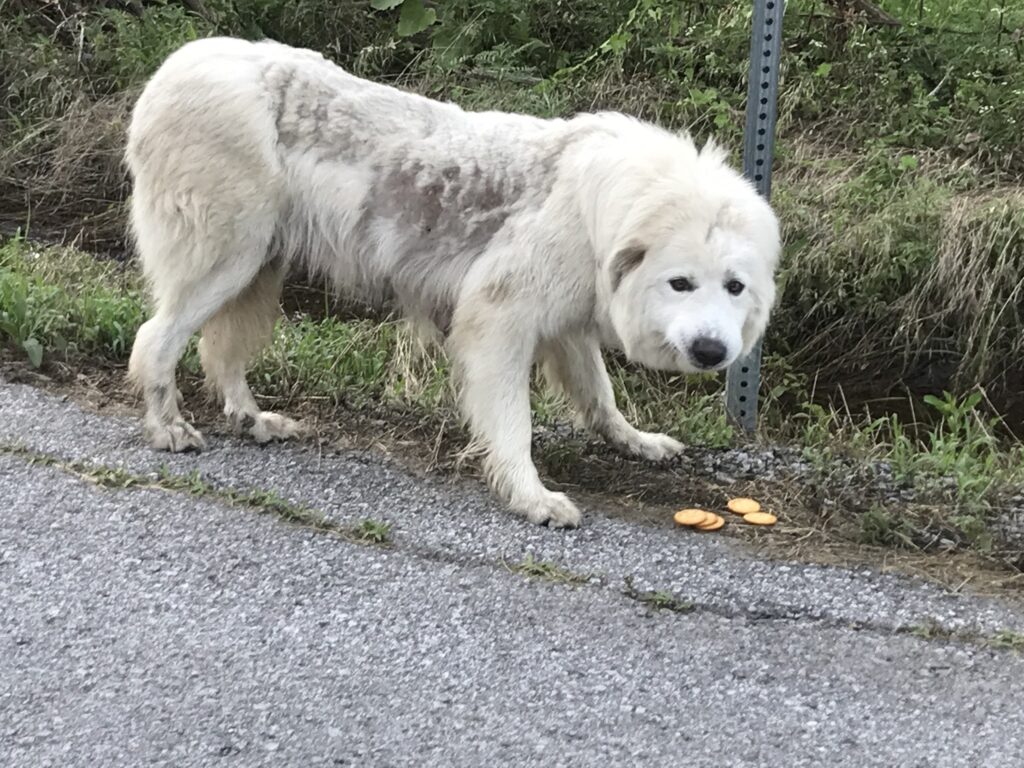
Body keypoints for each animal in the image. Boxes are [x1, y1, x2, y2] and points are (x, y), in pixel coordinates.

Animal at [126, 37, 781, 528]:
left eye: (735, 287)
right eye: (680, 283)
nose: (713, 351)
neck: (605, 209)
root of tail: (173, 68)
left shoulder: (567, 326)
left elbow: (601, 399)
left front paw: (638, 443)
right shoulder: (498, 321)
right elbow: (514, 425)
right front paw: (532, 498)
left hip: (258, 271)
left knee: (220, 353)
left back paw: (251, 420)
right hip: (226, 264)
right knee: (153, 341)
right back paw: (170, 429)